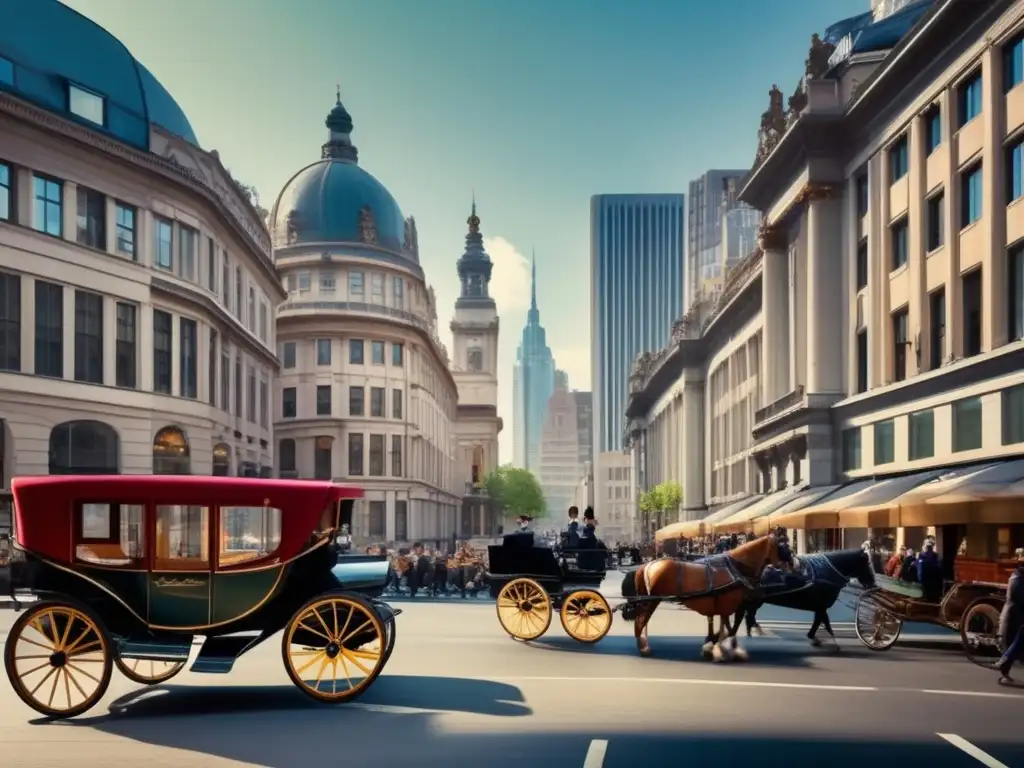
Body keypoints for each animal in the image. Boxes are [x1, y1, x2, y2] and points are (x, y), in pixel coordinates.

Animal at [618, 536, 786, 663]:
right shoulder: (730, 604)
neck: (736, 569)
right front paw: (722, 648)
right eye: (784, 547)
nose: (789, 567)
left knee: (641, 622)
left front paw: (715, 646)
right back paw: (644, 648)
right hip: (650, 601)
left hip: (649, 601)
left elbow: (723, 626)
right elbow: (730, 627)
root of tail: (644, 566)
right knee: (640, 623)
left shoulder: (722, 604)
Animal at [704, 548, 880, 651]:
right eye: (867, 564)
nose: (873, 583)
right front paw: (832, 642)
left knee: (748, 616)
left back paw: (750, 632)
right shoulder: (822, 605)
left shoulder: (819, 606)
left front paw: (814, 638)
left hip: (755, 601)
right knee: (742, 616)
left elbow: (819, 622)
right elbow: (826, 623)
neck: (827, 572)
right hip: (753, 601)